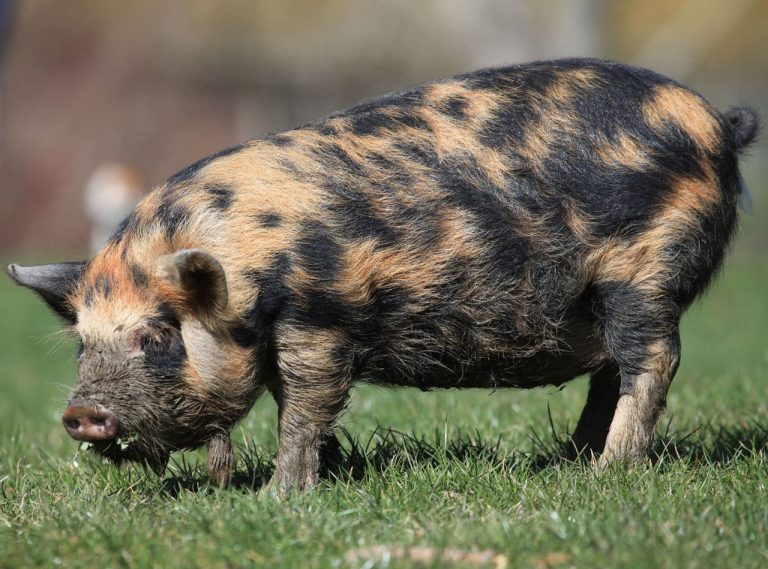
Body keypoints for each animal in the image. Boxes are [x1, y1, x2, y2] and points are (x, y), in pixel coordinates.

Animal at [8, 58, 758, 492]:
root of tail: (717, 122)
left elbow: (302, 405)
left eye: (158, 335)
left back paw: (607, 473)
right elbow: (297, 404)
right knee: (610, 370)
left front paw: (281, 495)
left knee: (652, 358)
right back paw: (570, 460)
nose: (80, 413)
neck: (250, 261)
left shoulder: (320, 317)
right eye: (83, 343)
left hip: (647, 268)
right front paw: (337, 471)